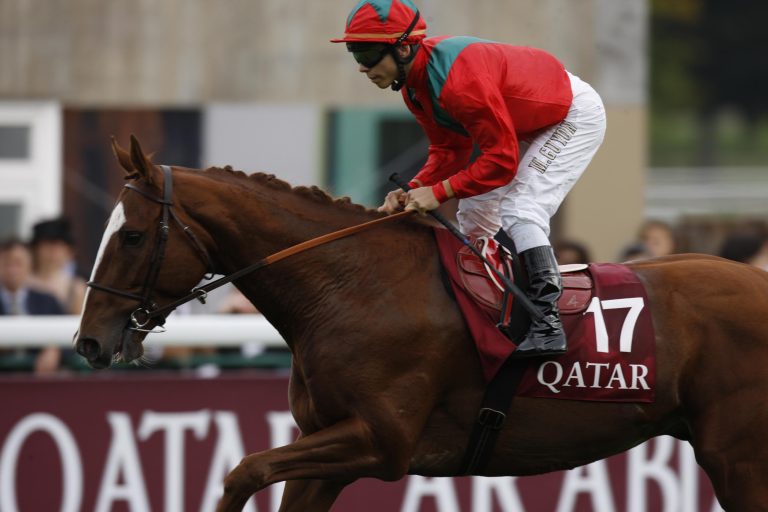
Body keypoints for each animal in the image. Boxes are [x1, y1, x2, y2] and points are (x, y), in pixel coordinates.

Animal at [75, 136, 768, 511]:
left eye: (132, 235)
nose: (89, 341)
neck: (351, 286)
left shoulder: (383, 442)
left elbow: (244, 469)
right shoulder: (327, 448)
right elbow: (262, 472)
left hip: (738, 457)